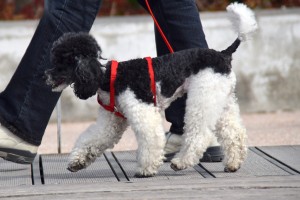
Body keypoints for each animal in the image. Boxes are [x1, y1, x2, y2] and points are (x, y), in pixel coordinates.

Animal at [45, 2, 258, 177]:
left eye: (61, 62)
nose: (46, 76)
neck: (108, 78)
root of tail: (224, 54)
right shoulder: (111, 121)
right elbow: (93, 138)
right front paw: (78, 161)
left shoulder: (142, 111)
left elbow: (151, 138)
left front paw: (146, 169)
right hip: (221, 100)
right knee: (235, 133)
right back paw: (233, 163)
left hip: (203, 97)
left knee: (200, 134)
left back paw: (181, 162)